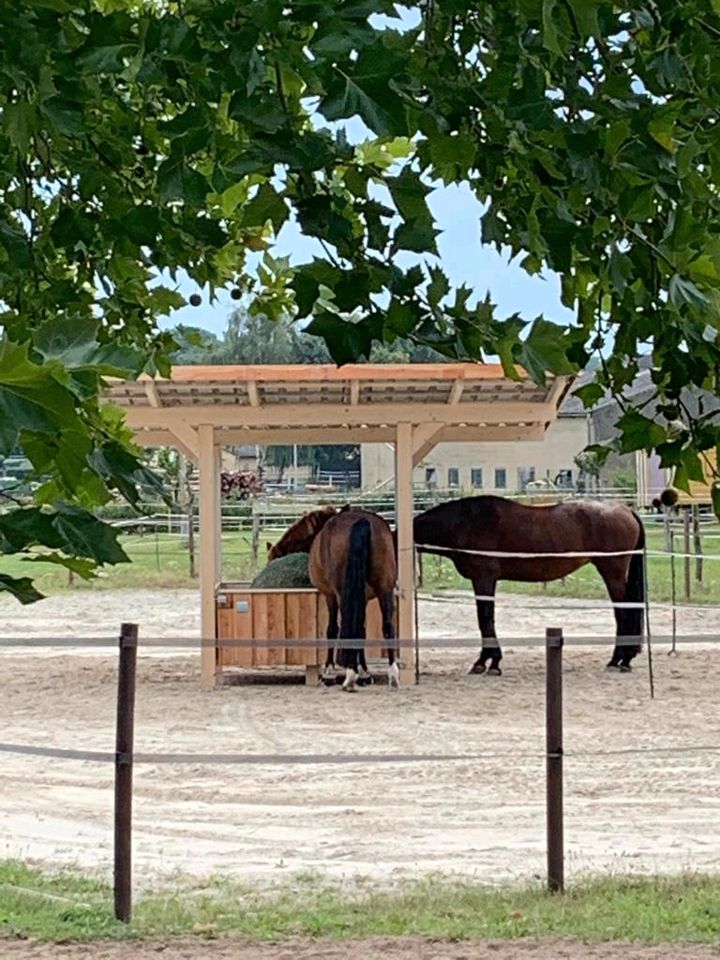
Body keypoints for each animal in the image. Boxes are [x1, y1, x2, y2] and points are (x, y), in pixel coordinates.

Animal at [310, 510, 400, 688]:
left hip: (342, 594)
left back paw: (350, 675)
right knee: (388, 626)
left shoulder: (330, 596)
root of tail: (362, 520)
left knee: (348, 625)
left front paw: (329, 673)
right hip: (385, 589)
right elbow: (362, 631)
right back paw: (393, 674)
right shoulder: (363, 599)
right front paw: (365, 673)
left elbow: (332, 629)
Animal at [414, 496, 644, 676]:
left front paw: (488, 662)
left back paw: (618, 660)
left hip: (612, 573)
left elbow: (485, 618)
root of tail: (625, 510)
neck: (466, 523)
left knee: (623, 613)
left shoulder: (484, 579)